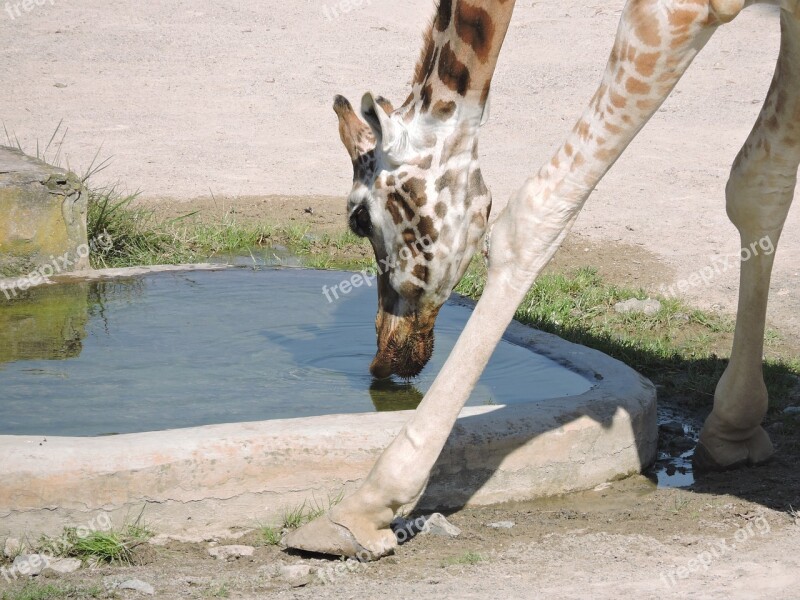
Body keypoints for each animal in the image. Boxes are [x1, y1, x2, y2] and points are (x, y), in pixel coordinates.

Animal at [286, 0, 800, 560]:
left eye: (359, 218)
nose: (383, 356)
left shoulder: (678, 11)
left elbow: (535, 213)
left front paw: (364, 505)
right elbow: (760, 184)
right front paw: (734, 428)